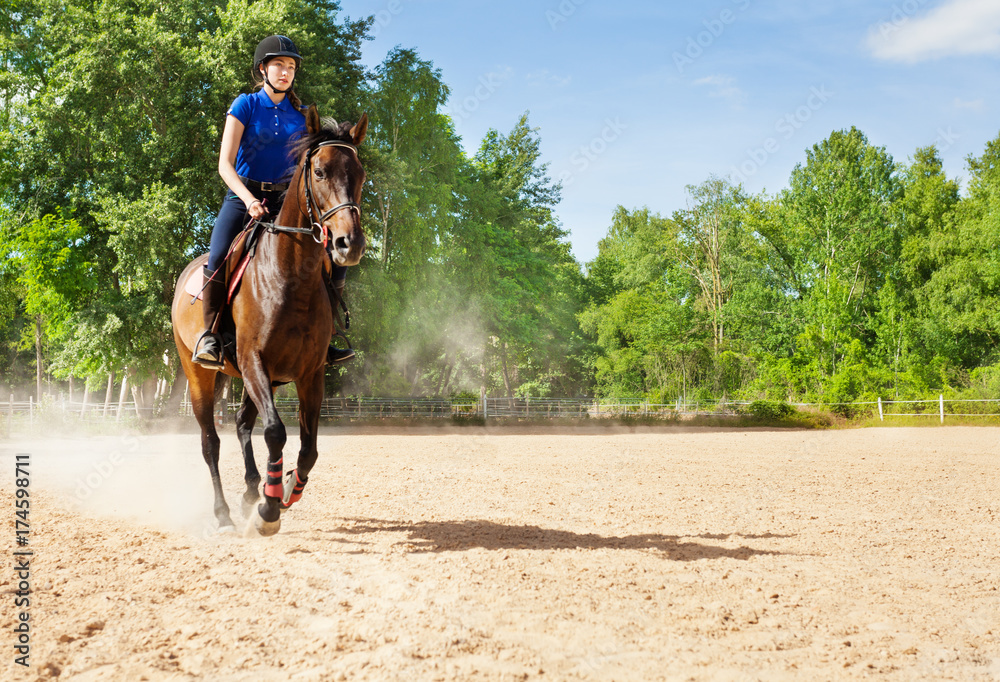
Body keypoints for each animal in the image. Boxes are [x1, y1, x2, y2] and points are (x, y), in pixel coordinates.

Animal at [170, 107, 370, 532]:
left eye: (360, 174)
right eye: (320, 172)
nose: (350, 244)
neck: (290, 276)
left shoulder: (310, 373)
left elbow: (309, 448)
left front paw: (285, 488)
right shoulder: (253, 361)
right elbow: (276, 432)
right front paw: (269, 510)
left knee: (242, 424)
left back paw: (251, 490)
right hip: (200, 376)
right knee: (210, 442)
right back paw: (225, 513)